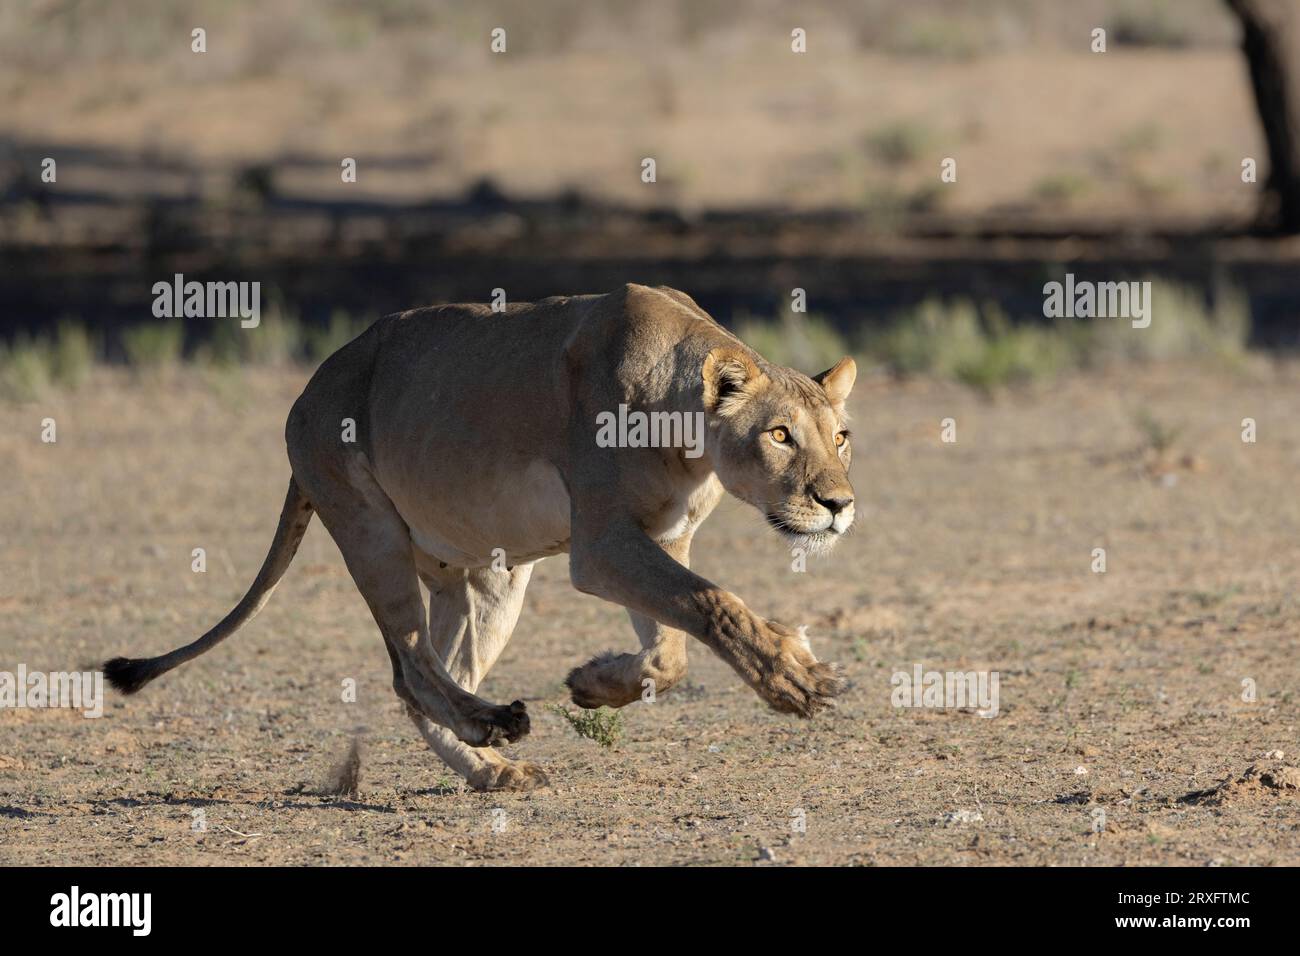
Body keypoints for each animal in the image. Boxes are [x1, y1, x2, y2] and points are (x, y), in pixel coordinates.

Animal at [104, 284, 856, 791]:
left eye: (840, 436)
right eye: (780, 435)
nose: (839, 505)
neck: (687, 425)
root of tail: (308, 390)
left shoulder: (661, 539)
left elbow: (669, 652)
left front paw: (592, 684)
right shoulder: (602, 544)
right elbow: (714, 604)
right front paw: (795, 680)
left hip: (490, 576)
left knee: (435, 674)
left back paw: (493, 766)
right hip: (369, 528)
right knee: (411, 669)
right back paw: (492, 725)